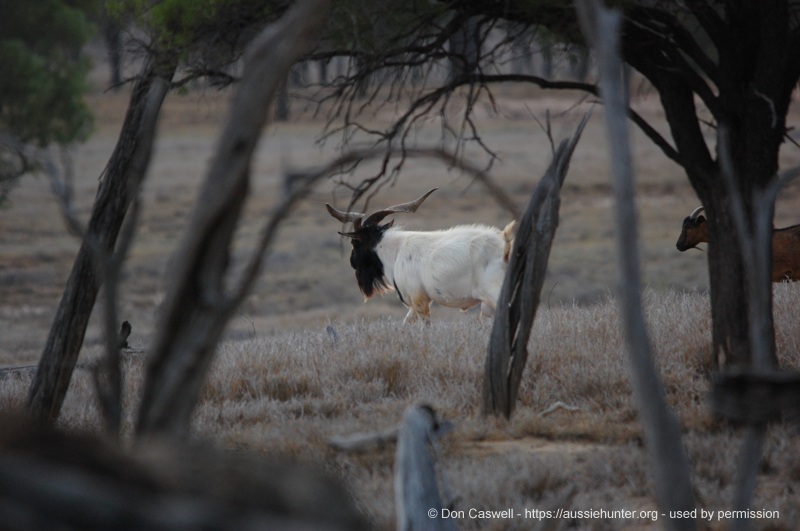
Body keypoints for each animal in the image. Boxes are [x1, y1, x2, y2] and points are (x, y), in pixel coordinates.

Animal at [328, 189, 516, 326]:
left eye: (355, 243)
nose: (352, 262)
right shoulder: (416, 302)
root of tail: (505, 244)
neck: (396, 250)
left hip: (494, 293)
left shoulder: (419, 300)